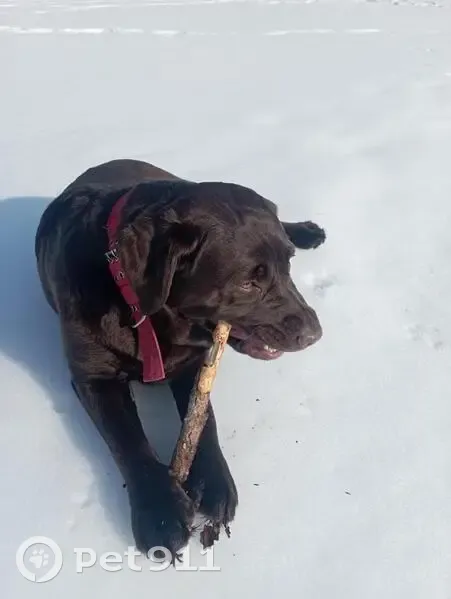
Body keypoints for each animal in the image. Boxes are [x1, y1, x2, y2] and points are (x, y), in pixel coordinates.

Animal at [34, 159, 325, 558]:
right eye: (248, 282)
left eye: (288, 267)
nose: (314, 334)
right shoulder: (94, 379)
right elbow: (129, 442)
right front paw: (160, 513)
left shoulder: (193, 363)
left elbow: (203, 422)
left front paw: (214, 484)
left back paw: (307, 230)